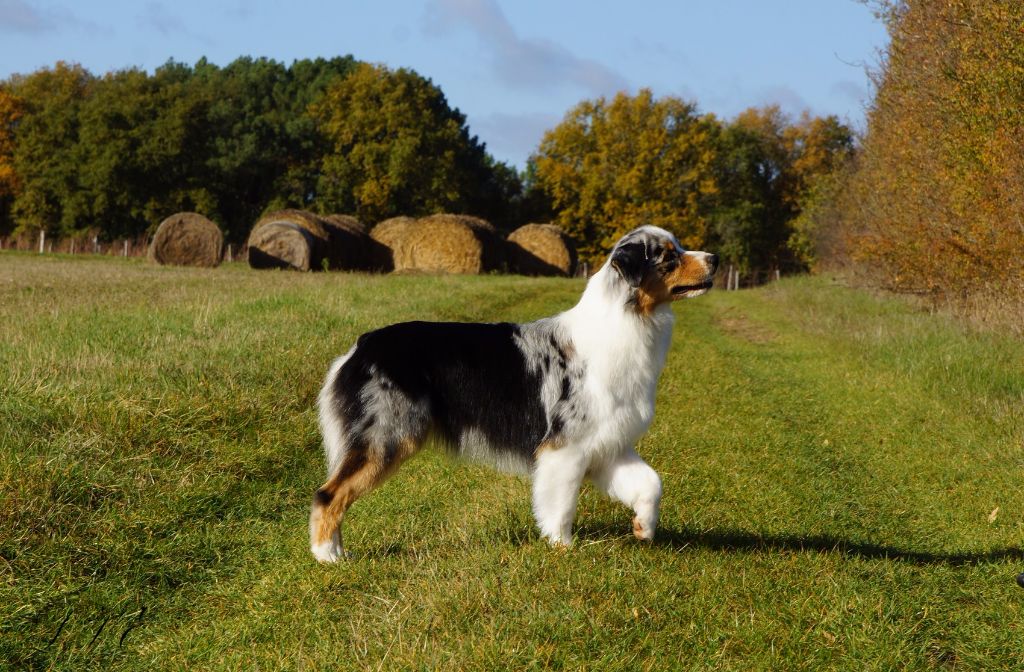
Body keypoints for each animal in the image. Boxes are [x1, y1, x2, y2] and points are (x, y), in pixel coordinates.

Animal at [309, 225, 718, 562]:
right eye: (669, 255)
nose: (715, 259)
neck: (628, 321)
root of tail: (360, 346)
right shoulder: (565, 447)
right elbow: (561, 505)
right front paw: (563, 549)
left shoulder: (607, 444)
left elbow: (650, 483)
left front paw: (644, 528)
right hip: (388, 437)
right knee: (328, 494)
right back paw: (328, 557)